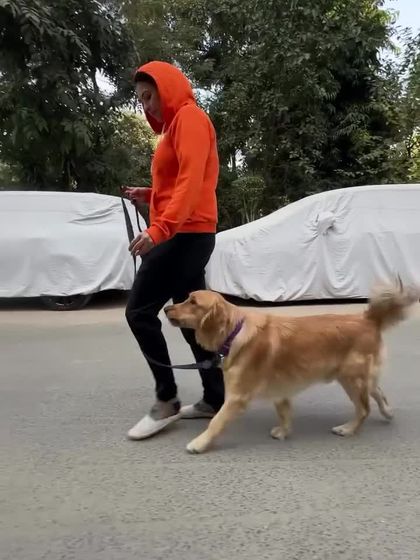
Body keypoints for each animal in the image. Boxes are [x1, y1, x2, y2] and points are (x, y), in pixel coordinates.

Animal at [164, 286, 417, 454]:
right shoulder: (280, 389)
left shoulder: (237, 397)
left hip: (351, 378)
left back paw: (347, 429)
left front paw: (199, 442)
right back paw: (387, 412)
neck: (234, 331)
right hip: (357, 377)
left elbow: (216, 421)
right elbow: (284, 412)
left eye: (193, 302)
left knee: (364, 408)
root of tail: (368, 319)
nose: (166, 308)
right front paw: (284, 431)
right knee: (378, 393)